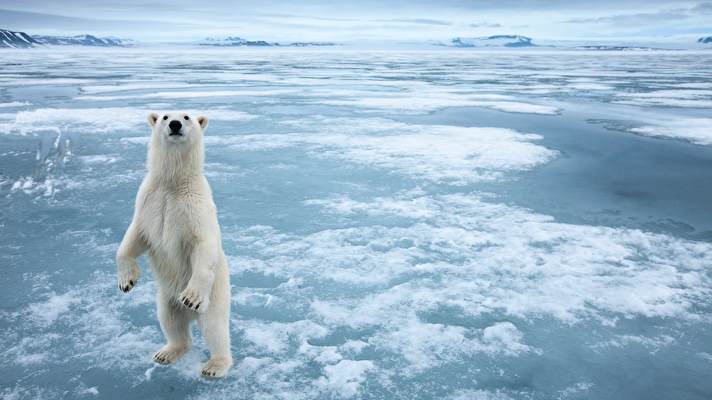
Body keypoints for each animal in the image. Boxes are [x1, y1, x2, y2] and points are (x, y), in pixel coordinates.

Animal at [114, 111, 231, 378]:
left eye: (187, 116)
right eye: (165, 116)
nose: (175, 124)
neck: (173, 182)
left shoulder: (195, 207)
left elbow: (203, 244)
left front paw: (190, 297)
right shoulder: (149, 202)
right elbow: (134, 237)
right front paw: (127, 281)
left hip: (215, 296)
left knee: (215, 328)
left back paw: (215, 365)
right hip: (166, 298)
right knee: (170, 321)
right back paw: (166, 352)